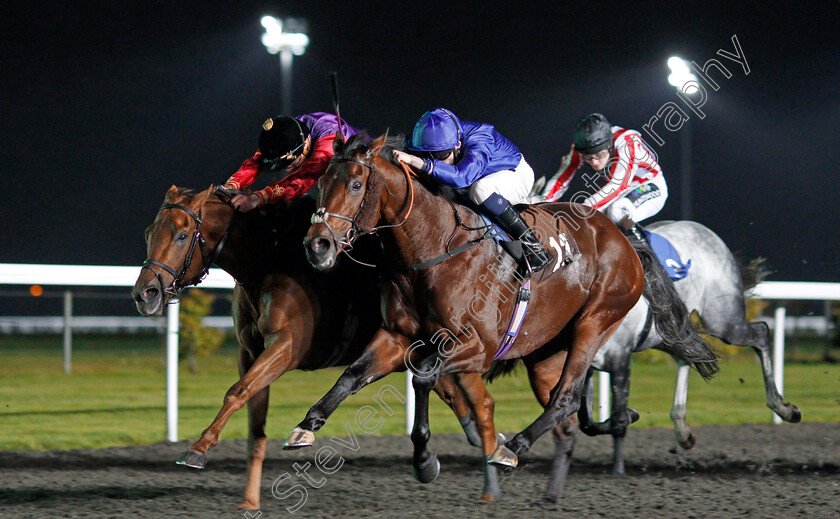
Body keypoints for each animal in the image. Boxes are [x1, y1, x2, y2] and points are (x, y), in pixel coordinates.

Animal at [131, 186, 492, 508]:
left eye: (181, 235)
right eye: (149, 232)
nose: (144, 293)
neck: (267, 260)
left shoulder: (286, 347)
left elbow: (237, 391)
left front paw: (198, 448)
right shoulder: (249, 352)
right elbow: (253, 419)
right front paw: (249, 501)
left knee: (478, 395)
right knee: (455, 392)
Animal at [292, 132, 720, 486]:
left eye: (355, 184)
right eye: (320, 184)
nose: (316, 245)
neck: (433, 249)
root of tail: (623, 237)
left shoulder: (478, 347)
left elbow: (424, 376)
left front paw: (425, 459)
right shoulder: (396, 336)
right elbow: (353, 374)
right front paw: (307, 424)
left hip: (596, 320)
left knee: (566, 397)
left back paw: (511, 448)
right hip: (545, 351)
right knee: (565, 407)